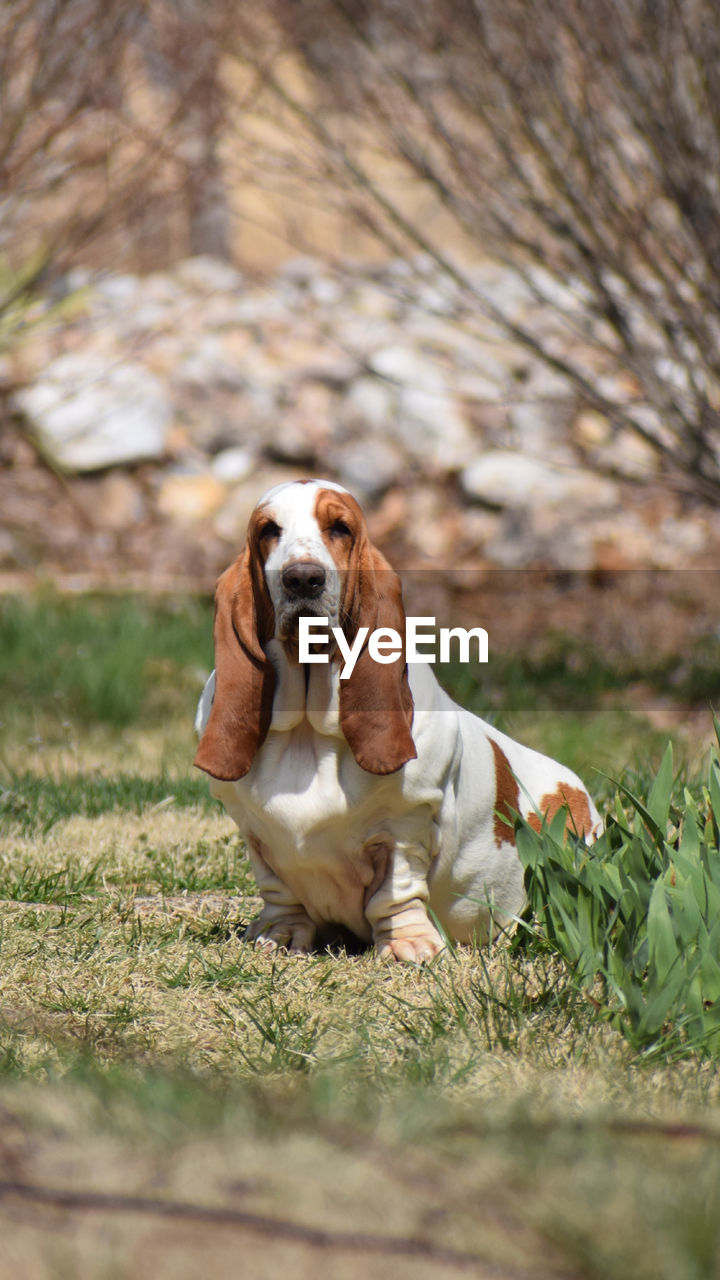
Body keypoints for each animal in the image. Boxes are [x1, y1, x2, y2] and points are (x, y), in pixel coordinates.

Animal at [193, 481, 597, 962]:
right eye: (268, 530)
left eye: (340, 528)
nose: (303, 578)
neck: (308, 732)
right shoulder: (254, 833)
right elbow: (278, 890)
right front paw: (281, 935)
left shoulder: (405, 828)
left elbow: (395, 893)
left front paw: (410, 946)